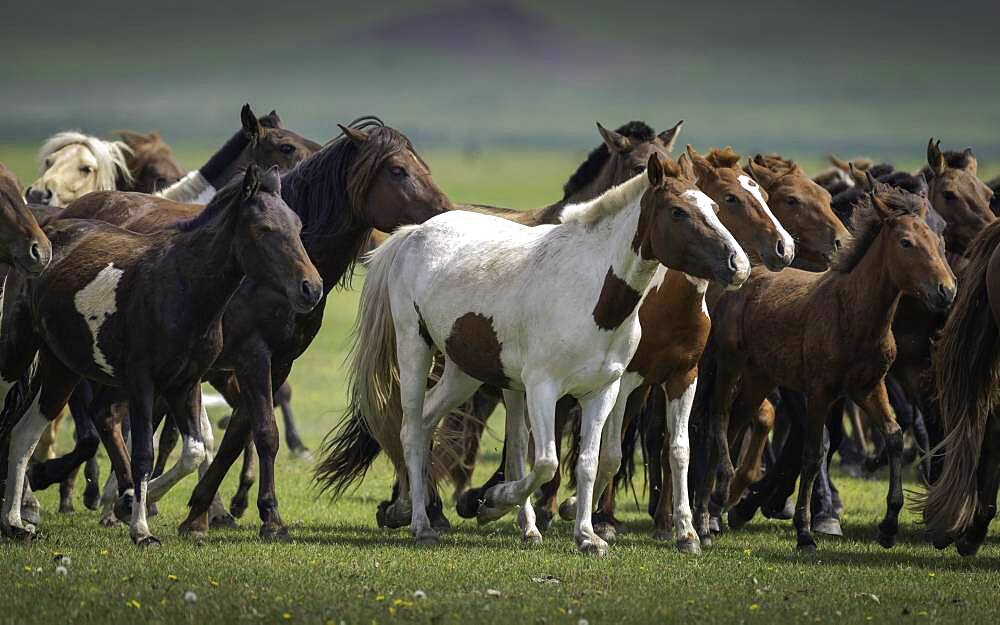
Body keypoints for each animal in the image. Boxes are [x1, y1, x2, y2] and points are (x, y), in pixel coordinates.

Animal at [0, 167, 320, 544]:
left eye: (297, 225)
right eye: (264, 229)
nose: (311, 288)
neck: (181, 288)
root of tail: (46, 238)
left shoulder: (186, 384)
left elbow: (194, 451)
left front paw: (136, 503)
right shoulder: (142, 382)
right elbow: (144, 453)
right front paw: (140, 528)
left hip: (61, 369)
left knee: (23, 435)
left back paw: (16, 523)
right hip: (17, 354)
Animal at [336, 154, 752, 552]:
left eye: (714, 206)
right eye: (678, 211)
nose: (739, 265)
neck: (591, 294)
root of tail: (413, 234)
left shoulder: (604, 391)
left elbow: (588, 462)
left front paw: (587, 536)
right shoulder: (543, 389)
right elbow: (547, 461)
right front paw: (494, 500)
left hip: (464, 372)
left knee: (426, 424)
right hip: (415, 349)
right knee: (409, 430)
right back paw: (422, 524)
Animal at [712, 178, 952, 548]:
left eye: (938, 239)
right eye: (906, 242)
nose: (946, 291)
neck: (852, 313)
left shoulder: (869, 387)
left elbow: (894, 436)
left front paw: (888, 526)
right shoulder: (820, 392)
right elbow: (813, 454)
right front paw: (805, 531)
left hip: (759, 378)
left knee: (737, 421)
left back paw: (721, 504)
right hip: (730, 365)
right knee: (722, 418)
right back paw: (714, 507)